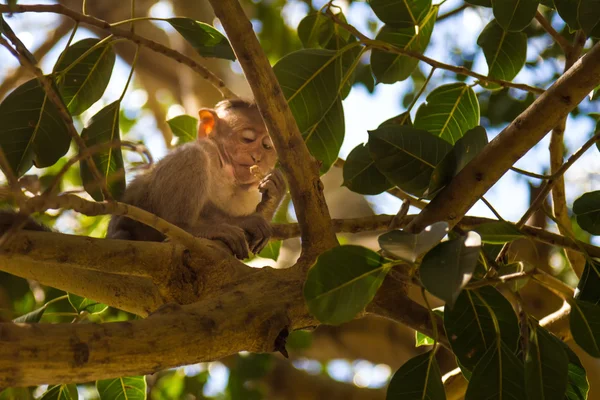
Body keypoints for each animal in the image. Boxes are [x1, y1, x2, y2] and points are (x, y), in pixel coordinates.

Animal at [107, 98, 286, 258]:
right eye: (247, 139)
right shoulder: (210, 150)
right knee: (193, 155)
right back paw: (187, 228)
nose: (257, 157)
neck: (228, 173)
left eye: (267, 146)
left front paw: (273, 196)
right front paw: (244, 222)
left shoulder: (251, 194)